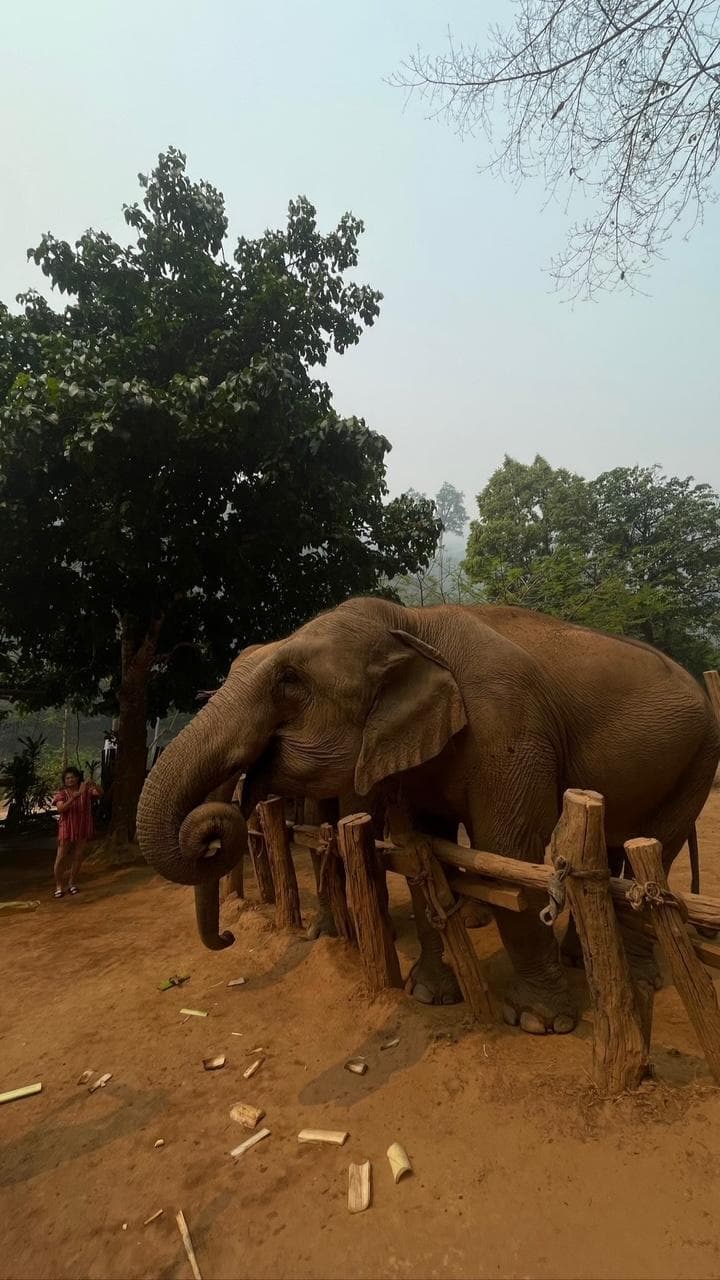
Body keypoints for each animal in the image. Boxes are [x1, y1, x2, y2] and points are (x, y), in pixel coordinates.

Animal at [136, 597, 720, 1035]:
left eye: (289, 681)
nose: (228, 938)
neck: (412, 624)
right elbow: (416, 848)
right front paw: (428, 993)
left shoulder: (509, 727)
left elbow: (508, 850)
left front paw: (538, 1022)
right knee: (620, 844)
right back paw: (585, 960)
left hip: (701, 754)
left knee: (653, 845)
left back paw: (638, 980)